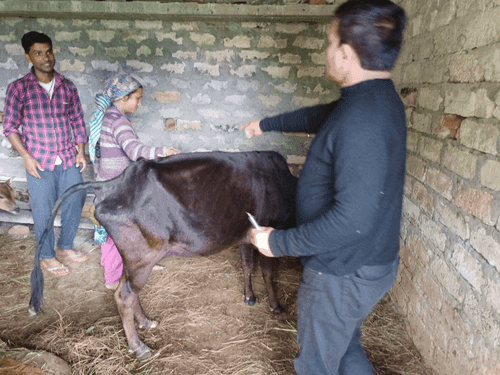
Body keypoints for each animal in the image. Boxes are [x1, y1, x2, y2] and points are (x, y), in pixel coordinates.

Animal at [29, 151, 296, 360]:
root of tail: (114, 183)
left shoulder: (245, 235)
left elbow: (247, 264)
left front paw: (250, 297)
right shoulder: (270, 229)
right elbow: (268, 272)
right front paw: (276, 307)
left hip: (134, 258)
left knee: (127, 289)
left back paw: (146, 322)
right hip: (143, 257)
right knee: (124, 296)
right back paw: (139, 347)